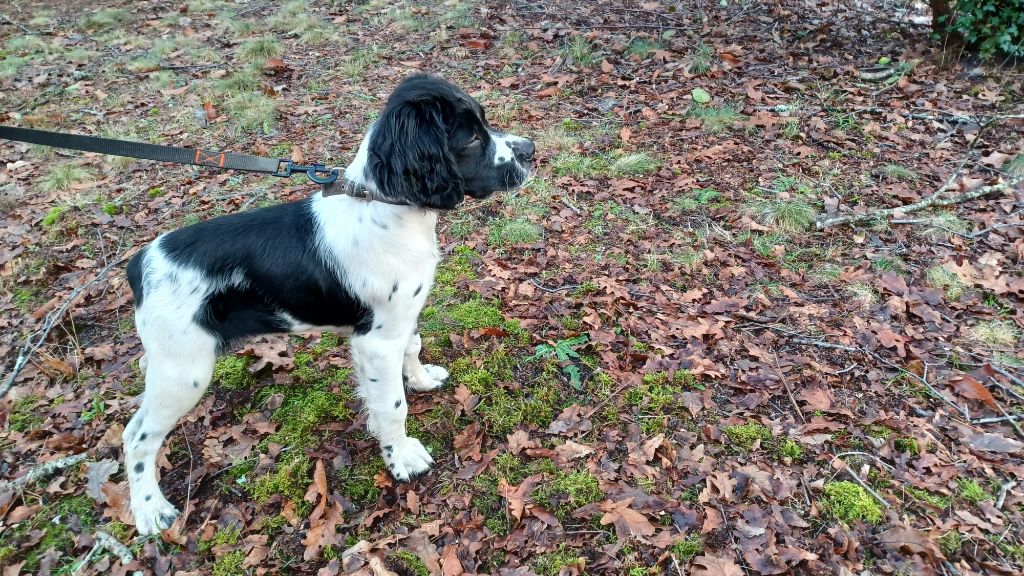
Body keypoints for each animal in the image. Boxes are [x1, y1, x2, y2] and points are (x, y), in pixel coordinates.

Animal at [120, 73, 536, 532]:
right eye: (472, 137)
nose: (531, 150)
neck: (386, 209)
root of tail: (142, 262)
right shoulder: (376, 341)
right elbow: (392, 405)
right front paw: (402, 457)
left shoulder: (399, 321)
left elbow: (412, 348)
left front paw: (421, 379)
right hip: (185, 371)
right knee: (136, 438)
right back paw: (149, 510)